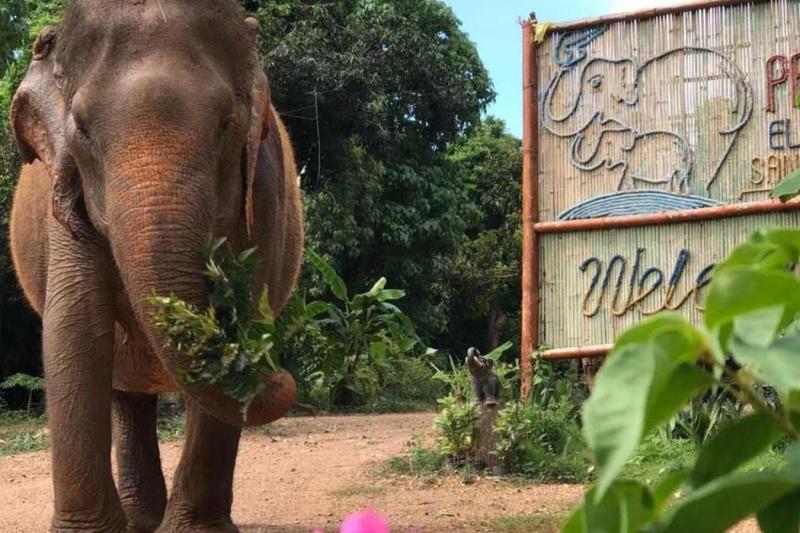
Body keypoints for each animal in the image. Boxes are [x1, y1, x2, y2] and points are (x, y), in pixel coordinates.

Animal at [7, 1, 303, 531]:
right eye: (82, 129)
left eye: (225, 124)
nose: (279, 375)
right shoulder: (65, 202)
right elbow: (75, 325)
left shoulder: (264, 193)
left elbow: (243, 309)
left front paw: (197, 530)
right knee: (125, 392)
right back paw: (141, 519)